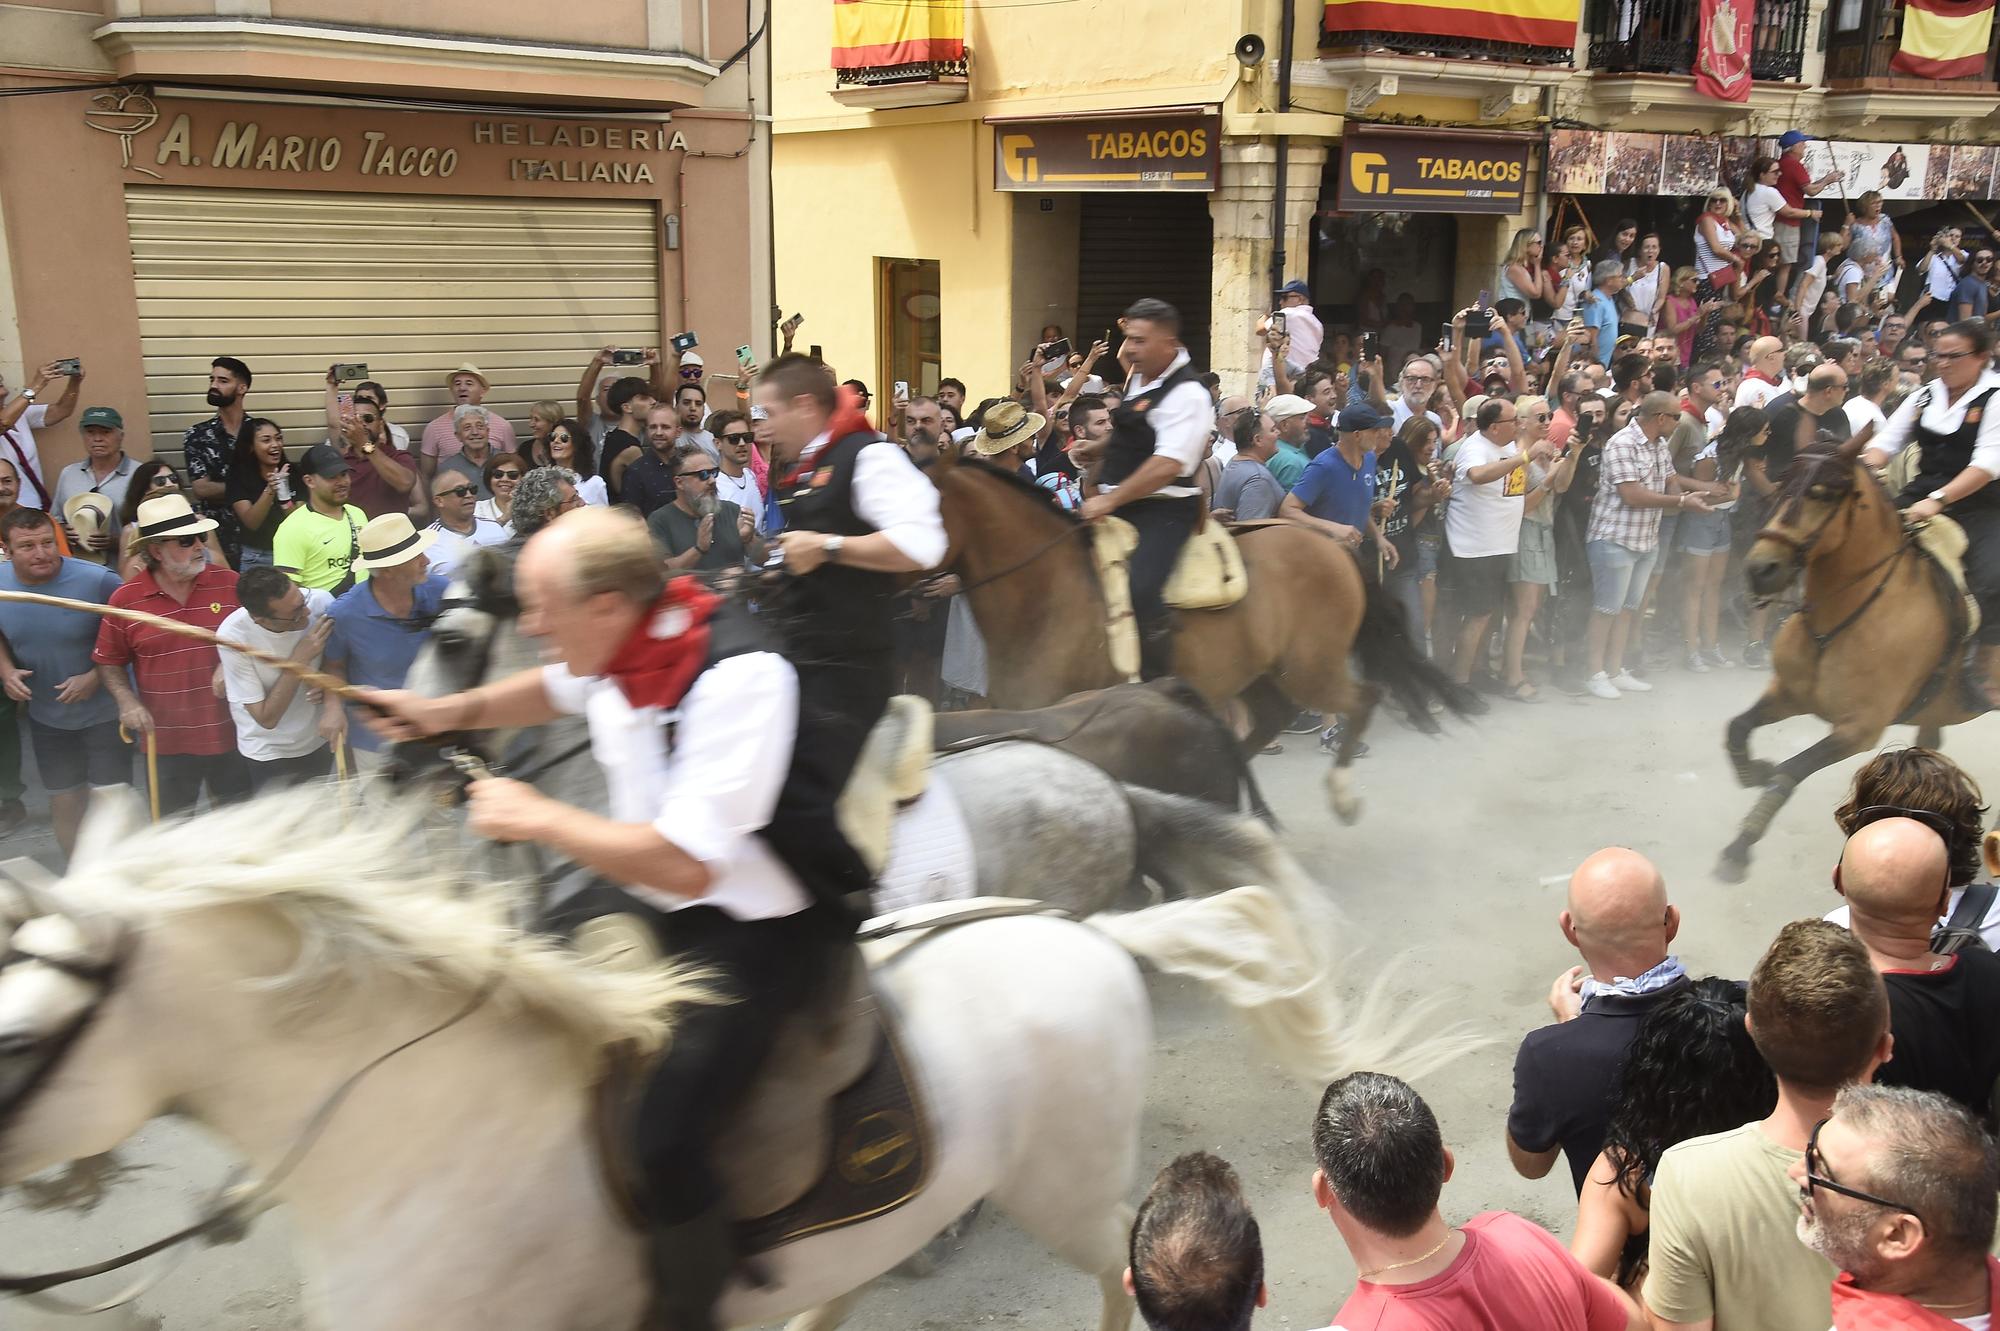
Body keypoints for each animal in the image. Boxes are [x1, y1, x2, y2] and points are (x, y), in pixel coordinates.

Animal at [928, 451, 1480, 815]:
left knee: (1363, 697)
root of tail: (1333, 545)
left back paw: (1340, 796)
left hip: (1309, 669)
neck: (1048, 592)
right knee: (1269, 720)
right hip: (1261, 672)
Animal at [1720, 429, 1984, 875]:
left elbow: (1791, 770)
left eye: (1823, 494)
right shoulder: (1789, 695)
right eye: (1780, 487)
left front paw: (1741, 843)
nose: (1760, 570)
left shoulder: (1858, 728)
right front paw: (1753, 771)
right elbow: (1737, 728)